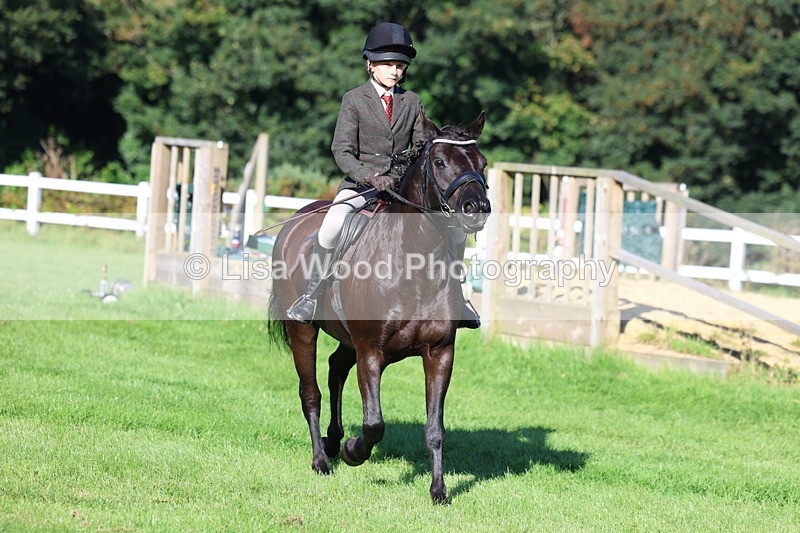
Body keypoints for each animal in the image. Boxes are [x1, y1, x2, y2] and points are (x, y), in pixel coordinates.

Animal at [267, 110, 491, 503]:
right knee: (310, 392)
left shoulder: (440, 352)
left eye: (482, 163)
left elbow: (435, 428)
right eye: (439, 161)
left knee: (335, 367)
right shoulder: (371, 351)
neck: (415, 264)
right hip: (303, 330)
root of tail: (298, 218)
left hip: (347, 338)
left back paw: (332, 441)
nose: (476, 209)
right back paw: (322, 459)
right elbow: (374, 424)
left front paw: (438, 490)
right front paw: (353, 451)